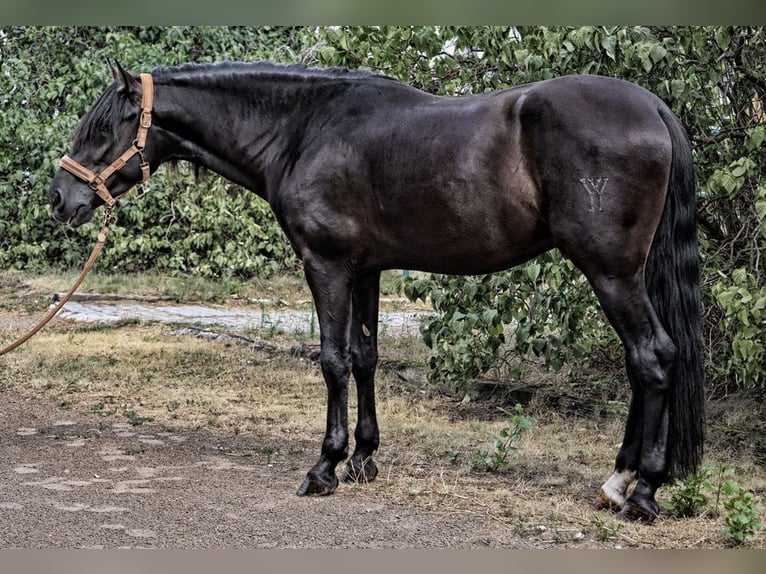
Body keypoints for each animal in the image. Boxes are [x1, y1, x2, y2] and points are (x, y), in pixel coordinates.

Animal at [49, 60, 708, 524]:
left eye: (102, 127)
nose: (60, 199)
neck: (304, 128)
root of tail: (652, 106)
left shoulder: (328, 265)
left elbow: (333, 361)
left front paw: (325, 466)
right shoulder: (366, 269)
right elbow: (366, 358)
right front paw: (364, 458)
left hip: (610, 272)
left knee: (652, 358)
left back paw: (642, 490)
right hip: (624, 274)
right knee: (643, 362)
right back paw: (619, 481)